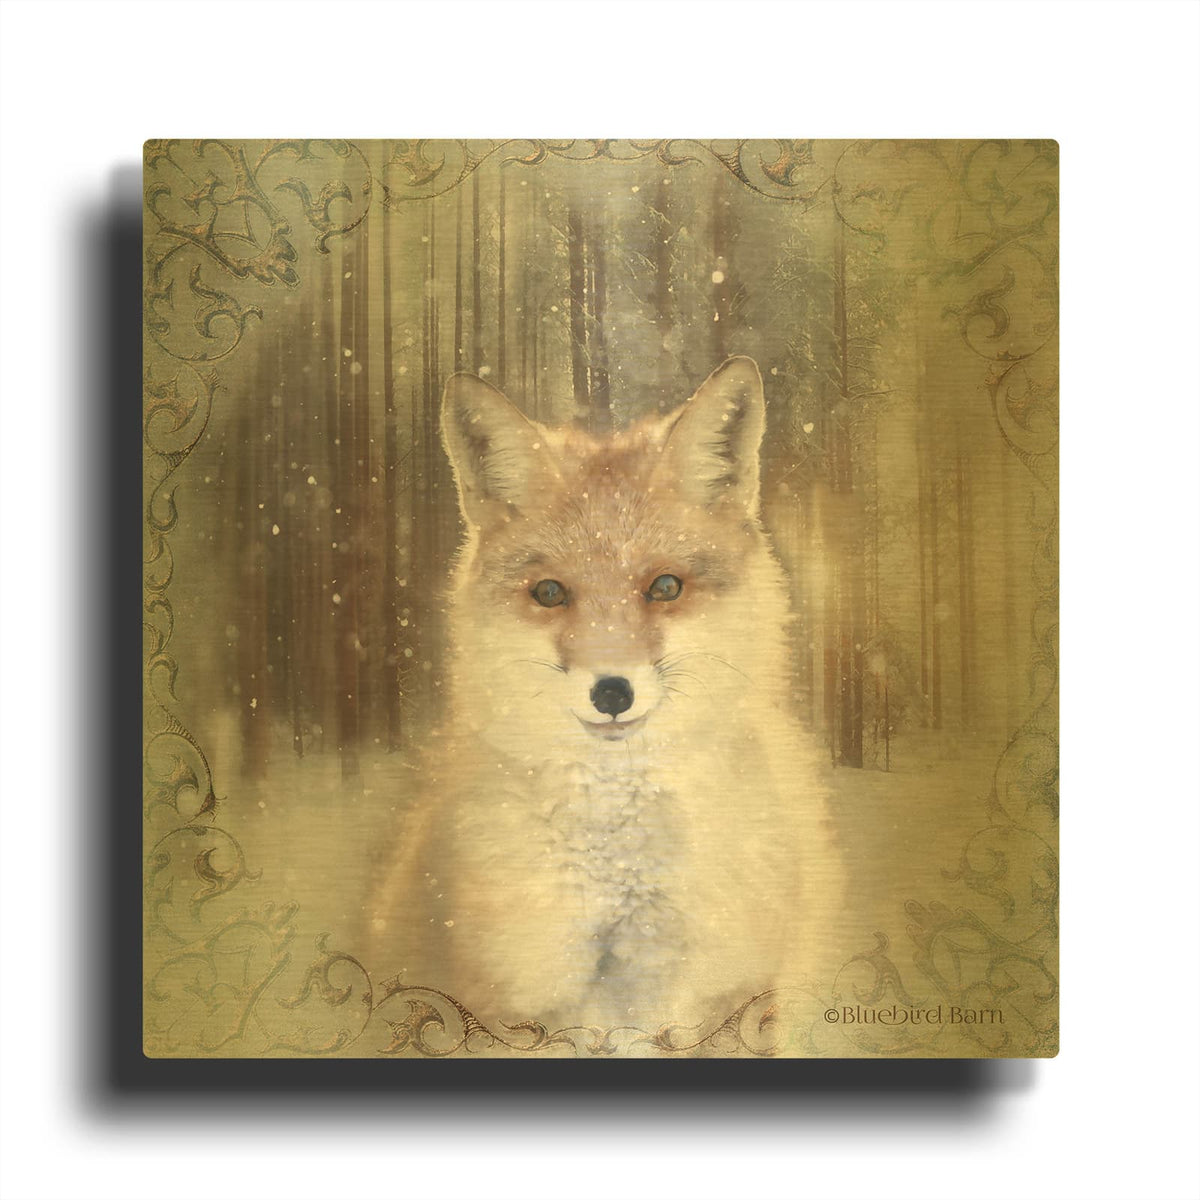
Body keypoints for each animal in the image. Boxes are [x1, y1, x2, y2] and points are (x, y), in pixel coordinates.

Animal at [368, 356, 842, 1032]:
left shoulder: (731, 996)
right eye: (549, 593)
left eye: (665, 586)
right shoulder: (516, 1007)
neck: (624, 883)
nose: (612, 692)